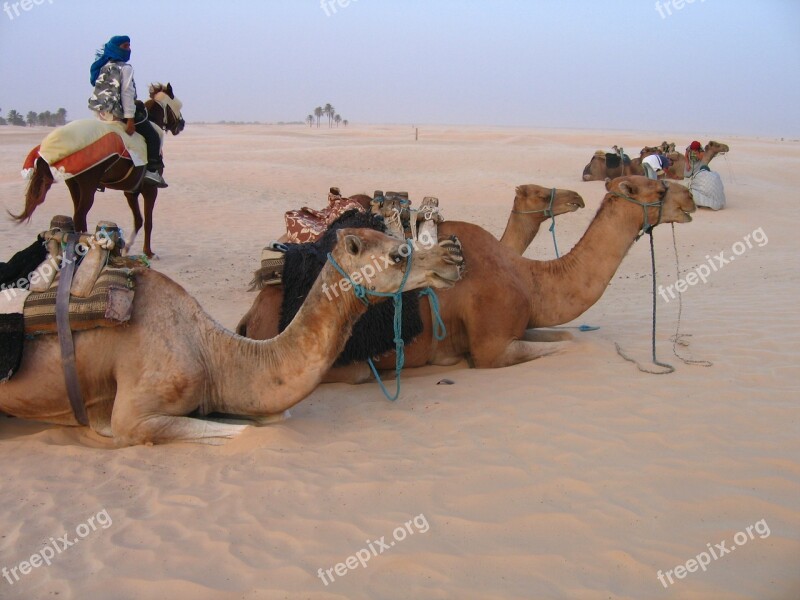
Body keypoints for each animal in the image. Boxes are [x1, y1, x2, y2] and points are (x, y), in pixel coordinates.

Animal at [12, 81, 186, 255]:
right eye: (177, 106)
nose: (182, 124)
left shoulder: (130, 191)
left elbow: (138, 220)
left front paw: (127, 247)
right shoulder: (150, 189)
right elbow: (148, 221)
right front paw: (148, 252)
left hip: (73, 184)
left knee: (78, 217)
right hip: (88, 185)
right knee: (80, 216)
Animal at [238, 175, 692, 380]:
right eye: (654, 189)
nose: (688, 197)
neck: (528, 278)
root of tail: (251, 319)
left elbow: (566, 335)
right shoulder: (492, 347)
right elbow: (570, 345)